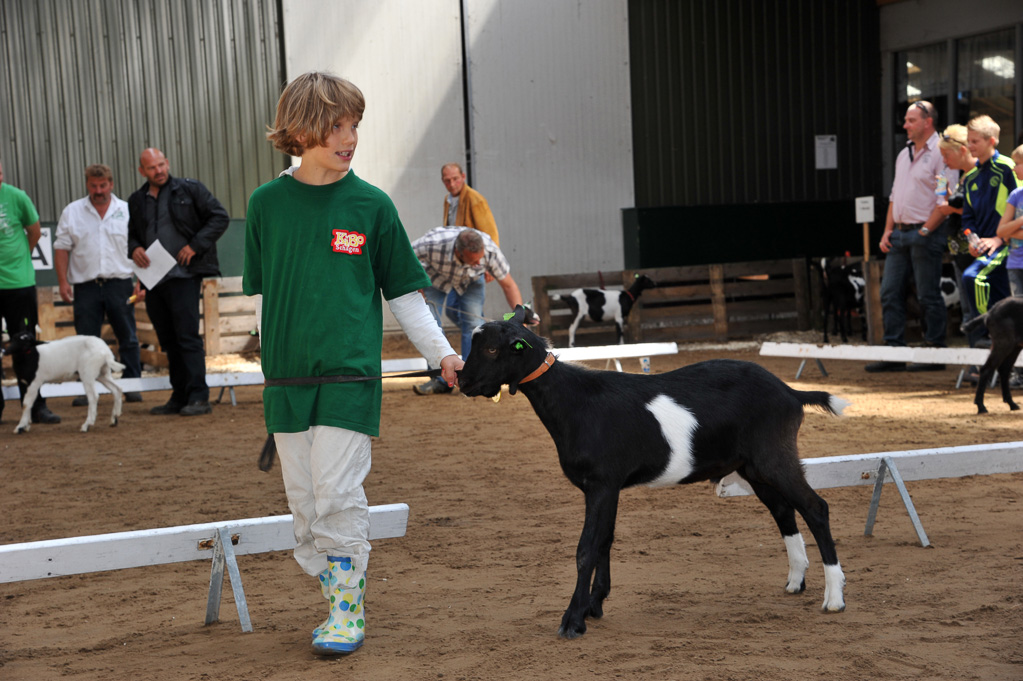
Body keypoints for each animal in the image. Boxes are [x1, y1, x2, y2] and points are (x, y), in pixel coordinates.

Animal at [458, 306, 847, 638]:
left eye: (491, 349)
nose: (461, 381)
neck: (576, 402)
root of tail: (791, 393)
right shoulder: (606, 487)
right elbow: (604, 540)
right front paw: (594, 605)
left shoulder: (601, 484)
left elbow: (586, 548)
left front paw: (572, 620)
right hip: (751, 467)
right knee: (783, 510)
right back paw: (796, 581)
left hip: (774, 458)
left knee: (815, 508)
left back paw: (834, 599)